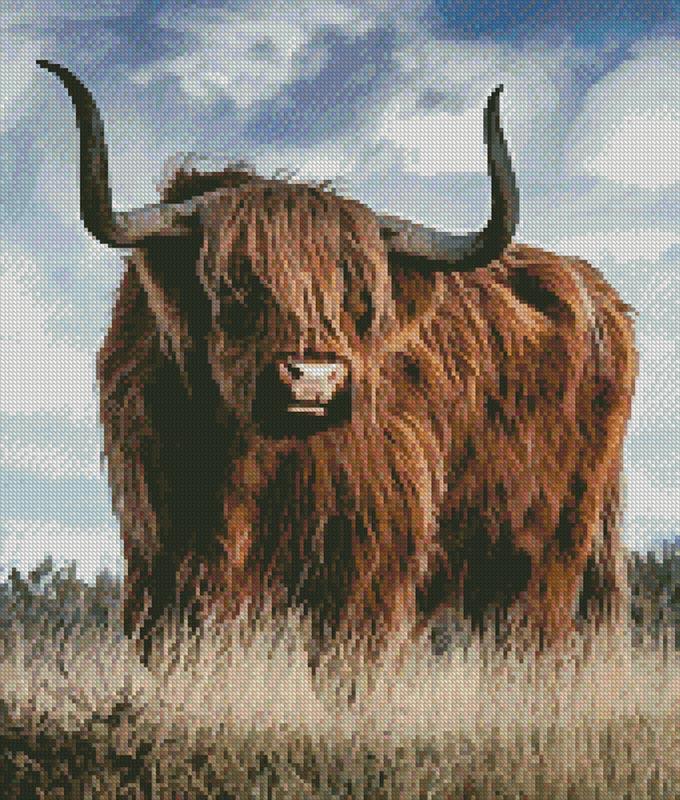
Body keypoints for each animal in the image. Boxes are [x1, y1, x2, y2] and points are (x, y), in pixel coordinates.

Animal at [38, 60, 637, 667]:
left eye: (362, 302)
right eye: (235, 289)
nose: (315, 378)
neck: (245, 460)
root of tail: (600, 294)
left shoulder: (368, 561)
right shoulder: (160, 553)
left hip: (547, 553)